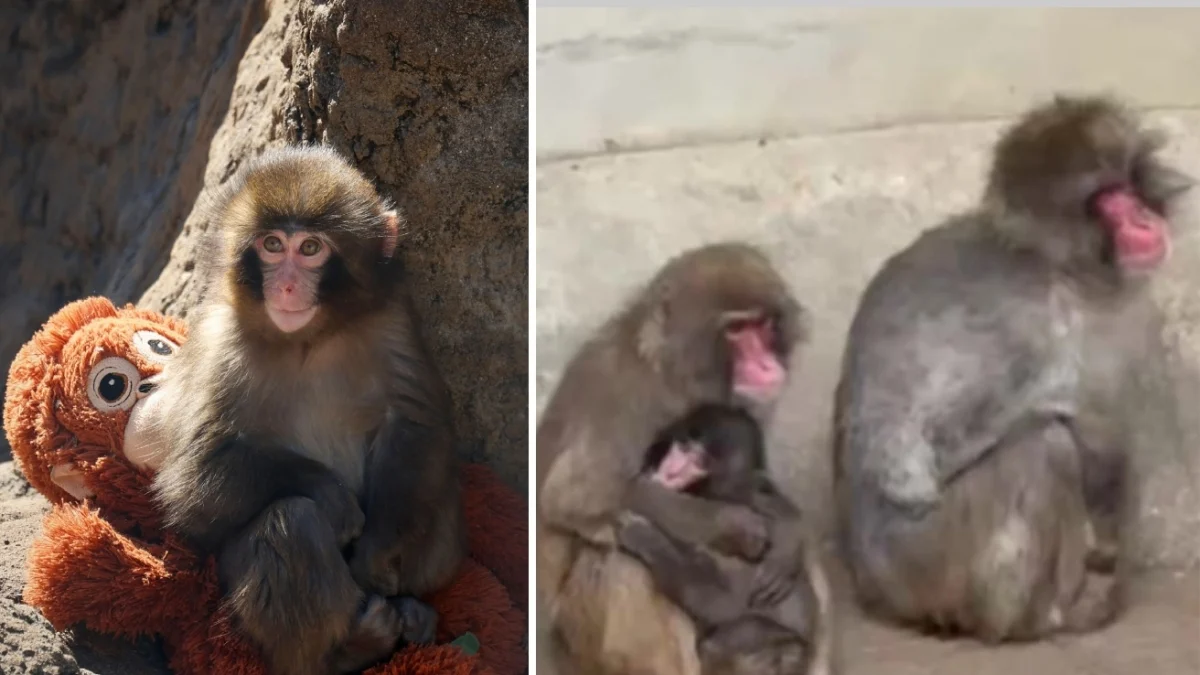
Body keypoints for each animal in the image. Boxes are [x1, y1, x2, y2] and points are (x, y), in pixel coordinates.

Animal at [151, 145, 466, 674]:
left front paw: (376, 553)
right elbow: (193, 479)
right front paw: (332, 497)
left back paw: (412, 610)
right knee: (291, 523)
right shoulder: (220, 342)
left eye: (311, 249)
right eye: (273, 245)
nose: (286, 287)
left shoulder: (392, 319)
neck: (308, 339)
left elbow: (413, 424)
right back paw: (348, 649)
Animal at [536, 242, 809, 675]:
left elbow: (756, 479)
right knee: (622, 562)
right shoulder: (627, 397)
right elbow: (576, 497)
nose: (768, 366)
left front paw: (790, 530)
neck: (673, 375)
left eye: (764, 325)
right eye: (736, 330)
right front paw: (729, 523)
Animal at [616, 403, 835, 675]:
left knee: (727, 641)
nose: (672, 468)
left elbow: (722, 604)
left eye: (699, 462)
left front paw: (643, 535)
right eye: (684, 447)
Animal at [832, 95, 1193, 642]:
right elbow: (906, 460)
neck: (1063, 271)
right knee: (1046, 445)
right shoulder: (1031, 328)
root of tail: (866, 582)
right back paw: (1032, 619)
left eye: (1128, 184)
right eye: (1106, 200)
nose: (1142, 217)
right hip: (924, 564)